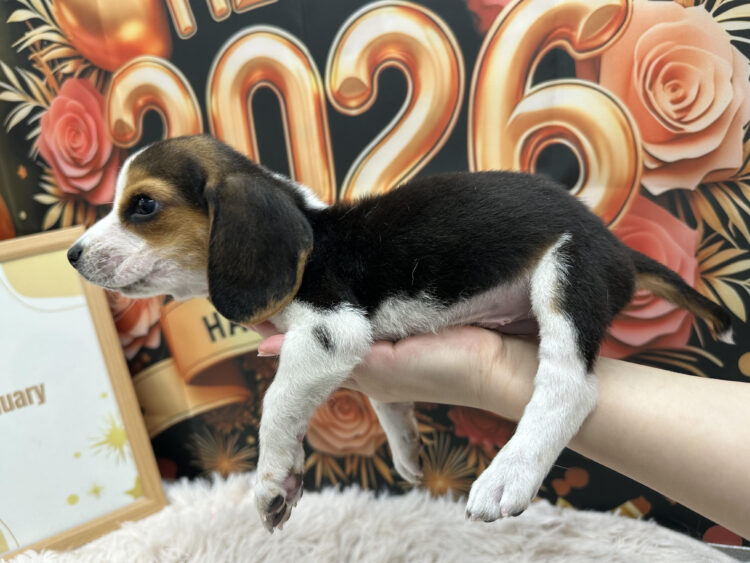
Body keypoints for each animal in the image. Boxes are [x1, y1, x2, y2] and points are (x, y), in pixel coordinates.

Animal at [68, 134, 732, 531]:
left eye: (143, 206)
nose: (72, 255)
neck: (312, 236)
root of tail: (617, 247)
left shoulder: (329, 332)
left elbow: (277, 406)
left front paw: (273, 480)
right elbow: (386, 405)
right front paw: (407, 451)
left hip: (567, 272)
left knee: (570, 386)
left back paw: (509, 475)